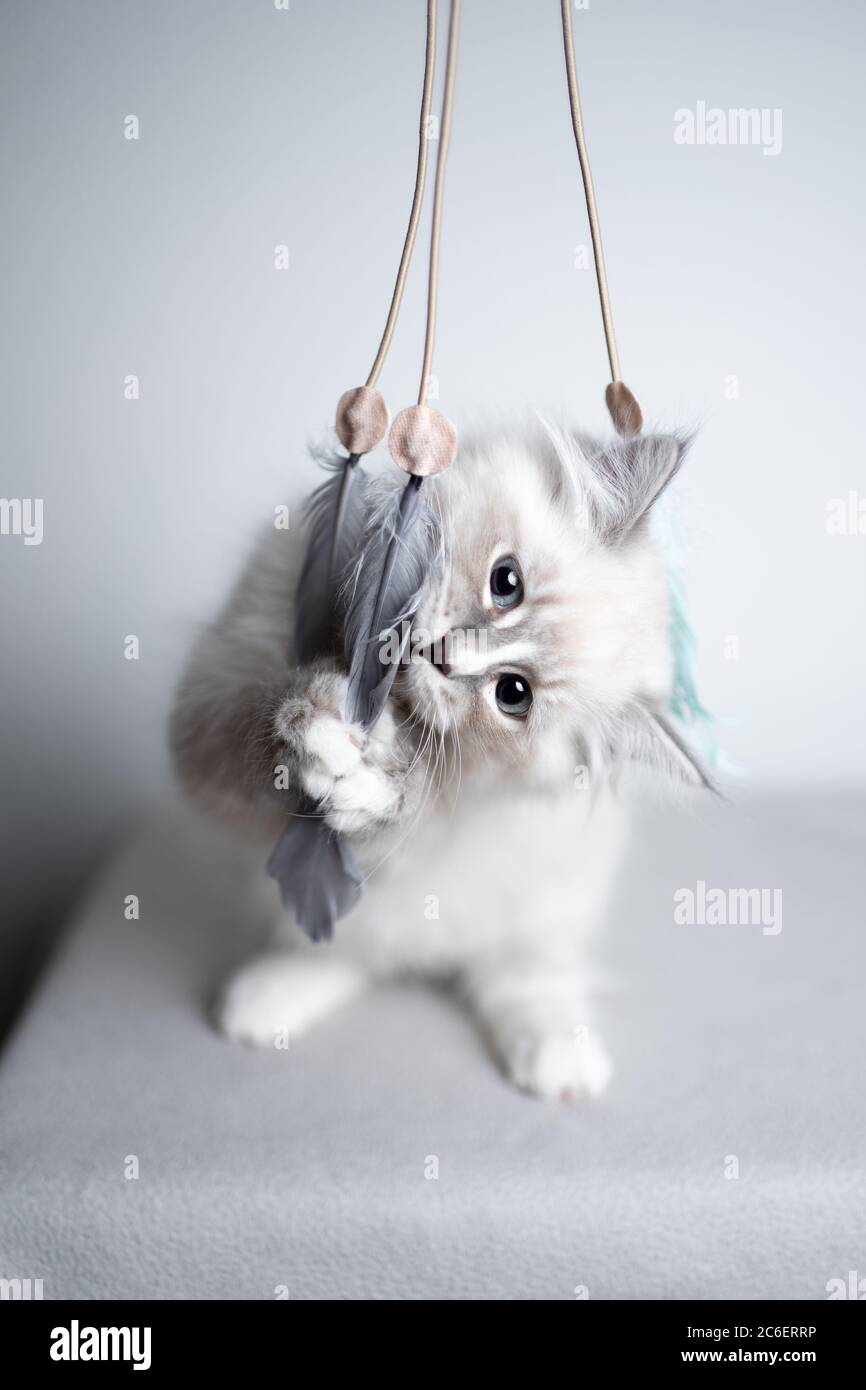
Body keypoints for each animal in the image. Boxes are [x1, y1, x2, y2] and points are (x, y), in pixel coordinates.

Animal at [170, 411, 711, 1095]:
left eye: (513, 695)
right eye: (506, 583)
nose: (445, 657)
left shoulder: (440, 830)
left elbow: (402, 809)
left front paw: (365, 773)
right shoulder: (209, 705)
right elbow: (260, 720)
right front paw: (321, 723)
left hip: (545, 913)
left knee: (518, 980)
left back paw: (562, 1061)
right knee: (345, 953)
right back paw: (267, 1002)